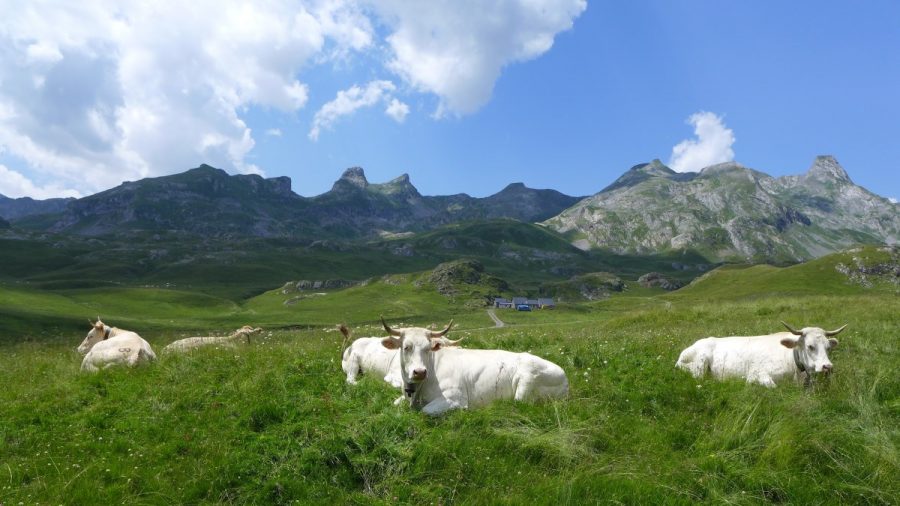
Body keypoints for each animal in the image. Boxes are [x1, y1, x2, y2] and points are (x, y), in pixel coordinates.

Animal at [380, 316, 568, 416]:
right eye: (406, 347)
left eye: (428, 348)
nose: (419, 372)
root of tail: (564, 376)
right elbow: (395, 403)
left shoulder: (455, 398)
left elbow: (425, 411)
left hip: (526, 383)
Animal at [680, 320, 848, 388]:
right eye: (810, 346)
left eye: (828, 347)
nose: (828, 367)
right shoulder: (757, 373)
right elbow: (772, 386)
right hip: (700, 365)